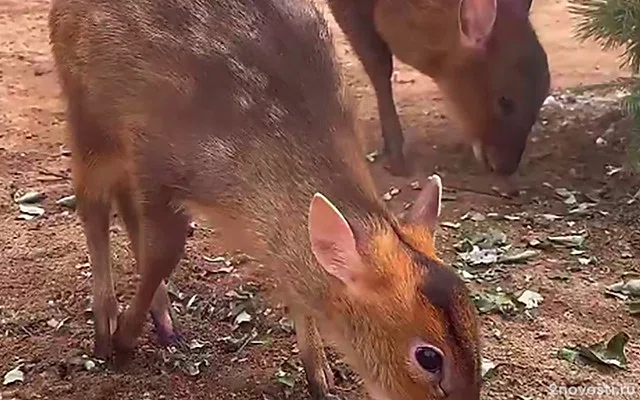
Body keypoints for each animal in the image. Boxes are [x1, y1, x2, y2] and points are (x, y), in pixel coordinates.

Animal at [48, 0, 480, 398]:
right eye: (429, 356)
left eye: (476, 323)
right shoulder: (159, 159)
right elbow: (161, 254)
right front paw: (122, 341)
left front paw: (319, 376)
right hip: (84, 98)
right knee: (92, 203)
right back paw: (107, 327)